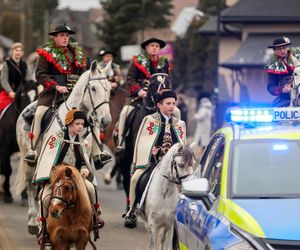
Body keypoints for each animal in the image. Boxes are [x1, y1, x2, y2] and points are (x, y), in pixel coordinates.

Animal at [15, 60, 112, 234]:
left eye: (109, 88)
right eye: (93, 88)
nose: (106, 120)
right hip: (30, 159)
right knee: (31, 187)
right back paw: (33, 221)